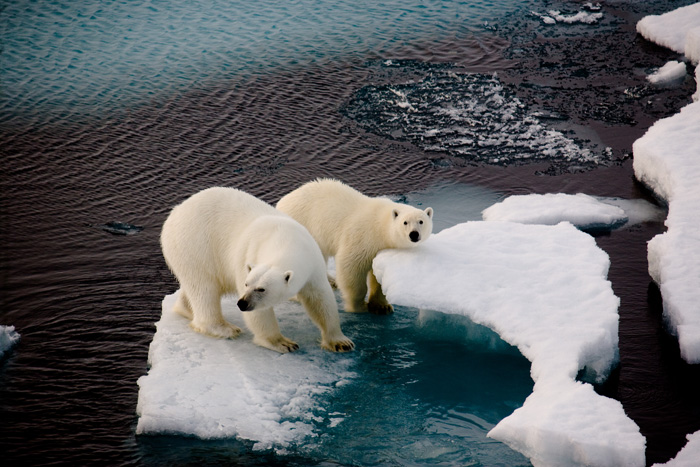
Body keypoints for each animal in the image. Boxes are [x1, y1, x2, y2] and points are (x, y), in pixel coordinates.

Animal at [161, 186, 352, 354]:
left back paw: (186, 309)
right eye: (247, 284)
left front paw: (340, 342)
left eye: (261, 289)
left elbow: (320, 299)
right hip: (195, 245)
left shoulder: (312, 262)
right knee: (204, 288)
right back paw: (225, 328)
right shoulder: (248, 254)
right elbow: (260, 314)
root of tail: (174, 213)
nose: (242, 303)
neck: (285, 239)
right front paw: (283, 343)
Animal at [274, 178, 432, 314]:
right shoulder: (362, 237)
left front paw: (382, 306)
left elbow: (378, 275)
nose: (414, 234)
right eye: (405, 222)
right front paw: (358, 306)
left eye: (421, 221)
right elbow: (351, 268)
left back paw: (331, 281)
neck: (380, 226)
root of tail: (281, 202)